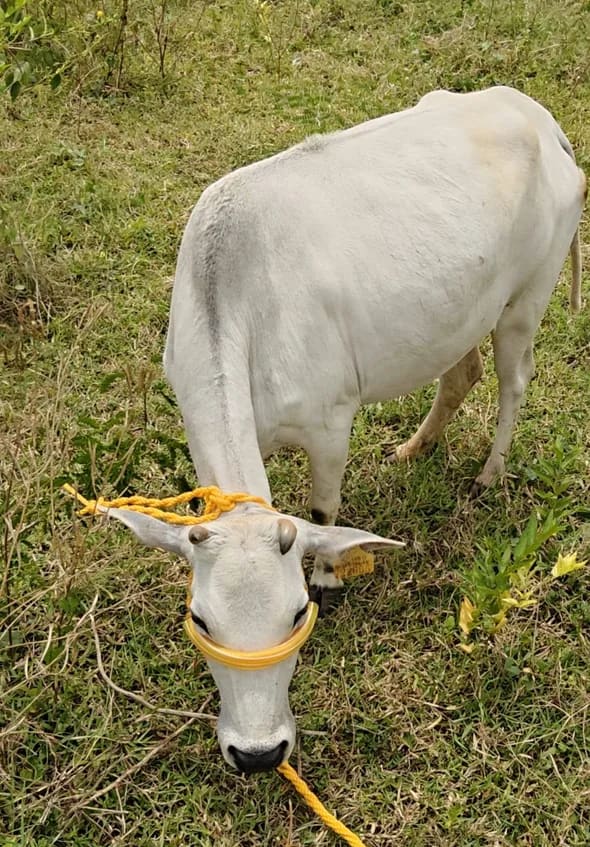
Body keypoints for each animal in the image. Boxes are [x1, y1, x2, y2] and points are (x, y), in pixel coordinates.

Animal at [108, 86, 585, 773]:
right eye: (199, 620)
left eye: (296, 614)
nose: (259, 754)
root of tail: (537, 116)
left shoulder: (331, 422)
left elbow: (324, 512)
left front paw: (330, 575)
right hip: (461, 313)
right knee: (460, 372)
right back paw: (414, 447)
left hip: (527, 300)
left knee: (514, 379)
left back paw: (489, 474)